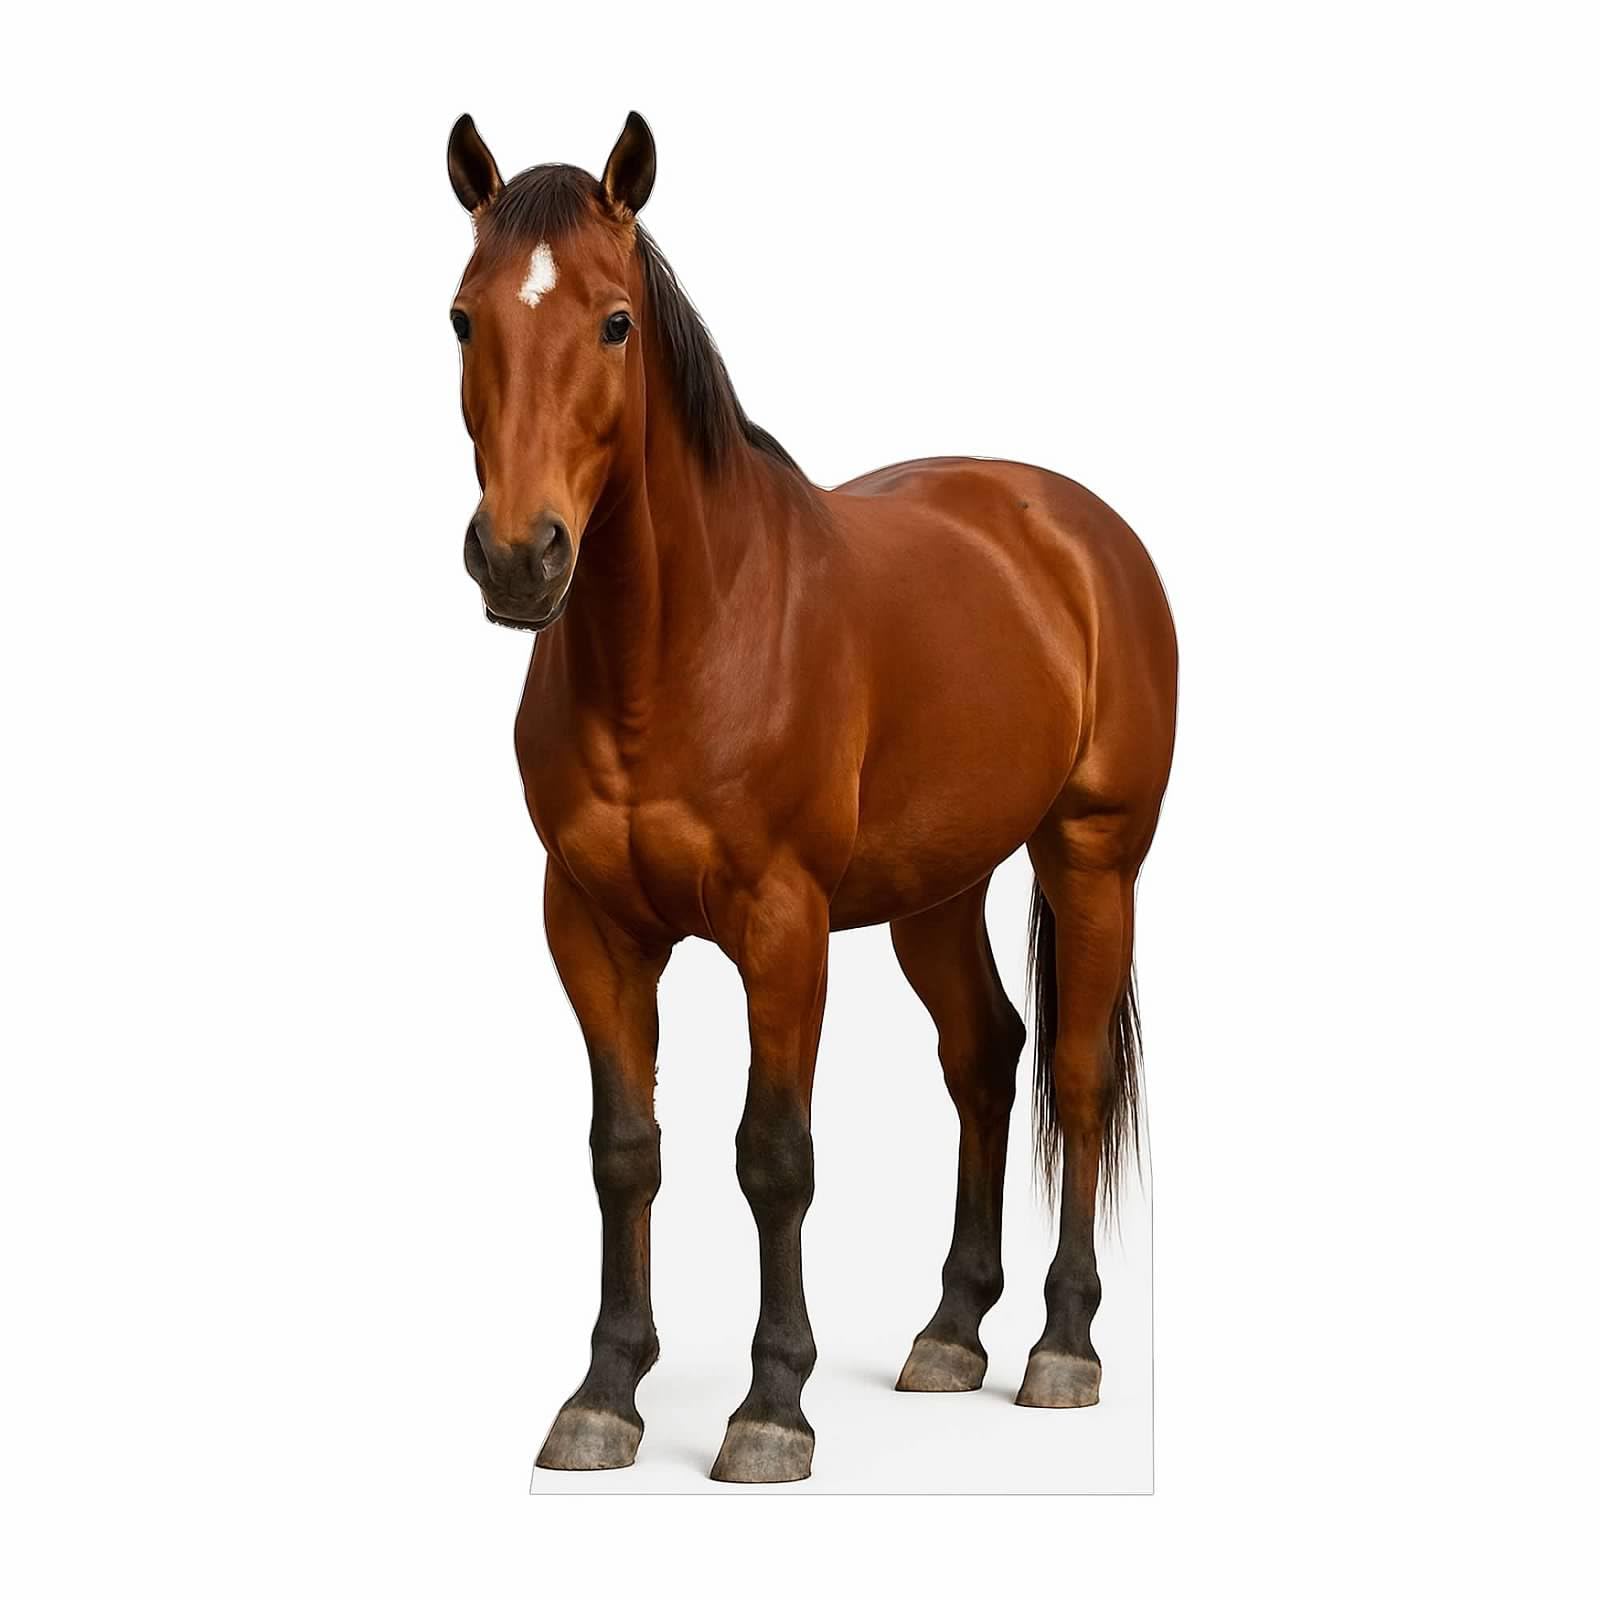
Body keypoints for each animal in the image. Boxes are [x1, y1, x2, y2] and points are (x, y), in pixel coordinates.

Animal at [446, 111, 1178, 1484]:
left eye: (614, 322)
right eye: (463, 317)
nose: (520, 557)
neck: (680, 643)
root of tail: (1073, 527)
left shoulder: (781, 928)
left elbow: (772, 1157)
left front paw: (770, 1406)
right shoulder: (590, 926)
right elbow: (624, 1153)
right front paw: (603, 1395)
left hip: (1091, 856)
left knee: (1073, 1076)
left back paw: (1062, 1348)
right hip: (935, 891)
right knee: (984, 1057)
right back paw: (950, 1332)